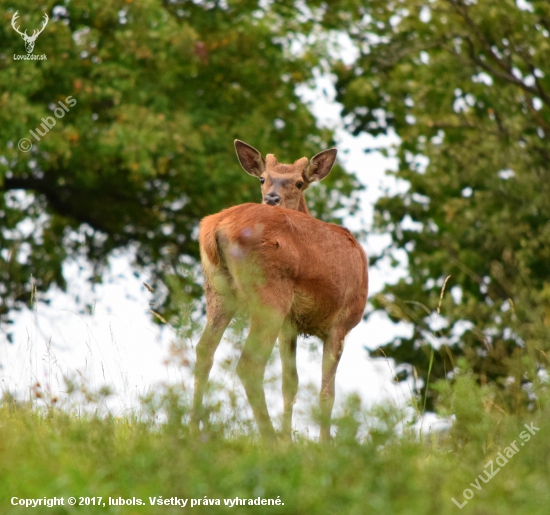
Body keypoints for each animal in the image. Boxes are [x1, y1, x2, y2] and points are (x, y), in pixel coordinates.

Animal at [191, 141, 370, 444]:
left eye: (299, 183)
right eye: (262, 179)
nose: (271, 198)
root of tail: (216, 227)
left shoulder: (290, 325)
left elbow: (291, 383)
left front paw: (290, 440)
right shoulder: (341, 323)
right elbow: (327, 394)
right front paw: (324, 445)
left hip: (218, 290)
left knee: (204, 350)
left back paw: (189, 430)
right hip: (270, 295)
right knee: (249, 364)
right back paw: (270, 440)